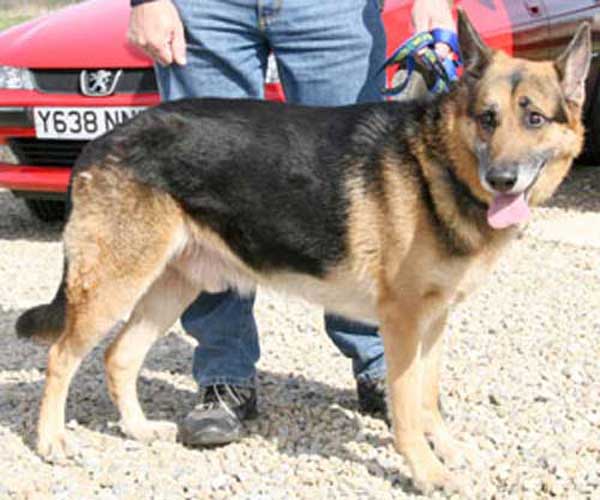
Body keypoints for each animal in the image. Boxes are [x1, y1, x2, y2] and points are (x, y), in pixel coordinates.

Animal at [17, 10, 592, 492]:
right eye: (487, 118)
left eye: (534, 119)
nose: (502, 179)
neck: (436, 163)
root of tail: (103, 140)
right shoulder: (405, 321)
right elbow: (408, 408)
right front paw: (426, 472)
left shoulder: (434, 321)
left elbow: (428, 398)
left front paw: (447, 452)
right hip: (115, 286)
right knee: (62, 356)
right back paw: (51, 441)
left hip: (170, 287)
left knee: (118, 355)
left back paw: (136, 429)